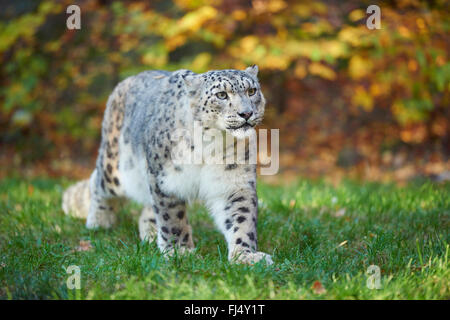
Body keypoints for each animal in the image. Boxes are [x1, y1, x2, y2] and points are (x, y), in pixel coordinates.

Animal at [61, 65, 272, 264]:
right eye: (221, 95)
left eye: (252, 91)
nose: (246, 113)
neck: (211, 144)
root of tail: (127, 81)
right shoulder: (167, 180)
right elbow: (172, 218)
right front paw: (180, 251)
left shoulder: (234, 182)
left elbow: (241, 218)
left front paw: (246, 256)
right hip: (117, 169)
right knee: (98, 182)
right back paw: (99, 221)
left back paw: (150, 233)